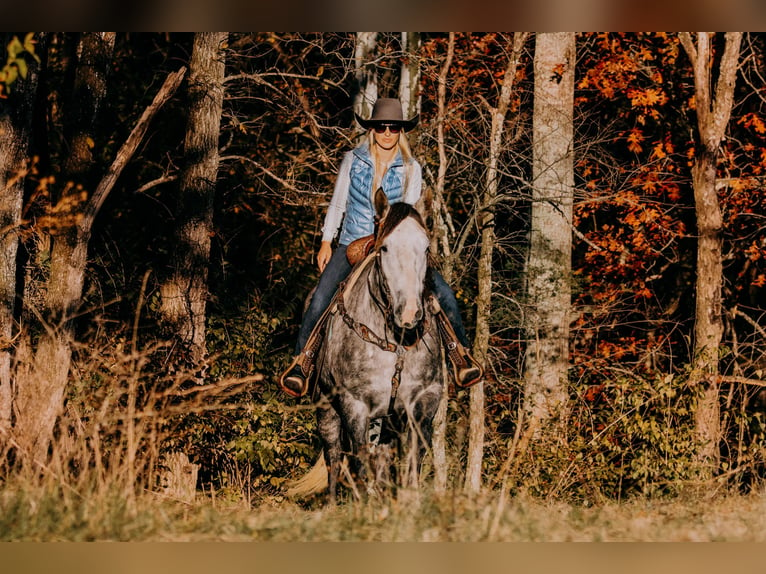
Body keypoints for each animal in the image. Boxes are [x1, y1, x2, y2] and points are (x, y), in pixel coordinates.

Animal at [316, 188, 444, 504]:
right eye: (384, 248)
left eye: (426, 248)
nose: (409, 313)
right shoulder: (354, 406)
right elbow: (360, 461)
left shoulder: (422, 403)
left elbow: (412, 462)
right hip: (326, 407)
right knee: (334, 455)